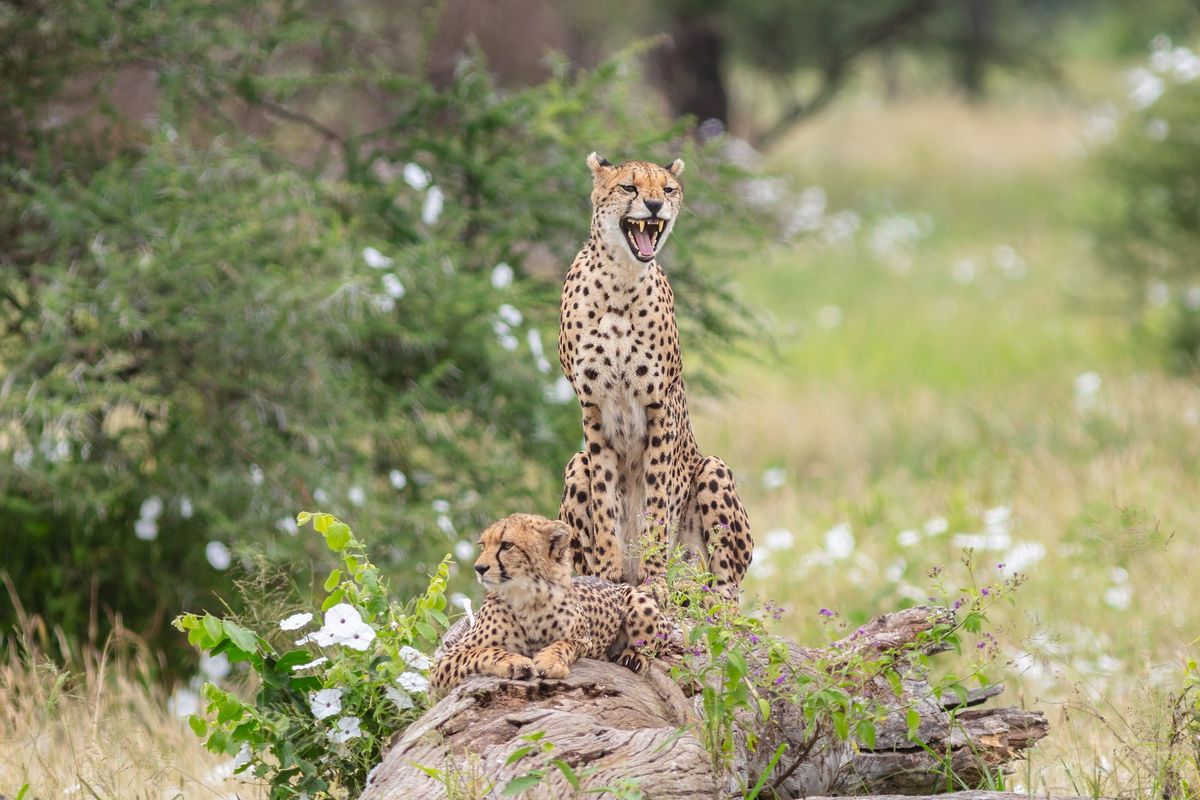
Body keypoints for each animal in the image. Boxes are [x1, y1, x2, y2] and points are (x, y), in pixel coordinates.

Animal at [430, 512, 662, 692]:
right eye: (483, 545)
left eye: (506, 545)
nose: (479, 568)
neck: (527, 596)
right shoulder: (447, 661)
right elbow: (485, 651)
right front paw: (515, 662)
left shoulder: (584, 640)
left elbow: (563, 644)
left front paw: (550, 662)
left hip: (638, 599)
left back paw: (633, 657)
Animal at [557, 152, 753, 601]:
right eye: (629, 187)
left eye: (667, 189)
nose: (653, 206)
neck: (620, 282)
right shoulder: (593, 408)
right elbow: (604, 496)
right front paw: (609, 572)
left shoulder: (658, 405)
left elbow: (657, 499)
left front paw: (654, 579)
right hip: (575, 465)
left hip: (713, 469)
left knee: (727, 592)